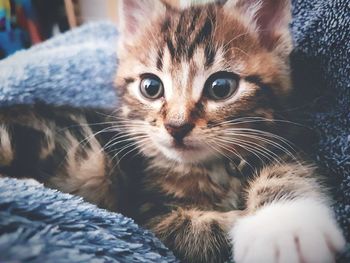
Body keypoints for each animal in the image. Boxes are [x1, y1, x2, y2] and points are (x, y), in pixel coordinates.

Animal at [0, 0, 344, 263]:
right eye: (151, 87)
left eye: (221, 87)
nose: (176, 126)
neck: (208, 169)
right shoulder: (145, 212)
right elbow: (195, 230)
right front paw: (268, 229)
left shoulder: (279, 139)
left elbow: (287, 169)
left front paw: (284, 225)